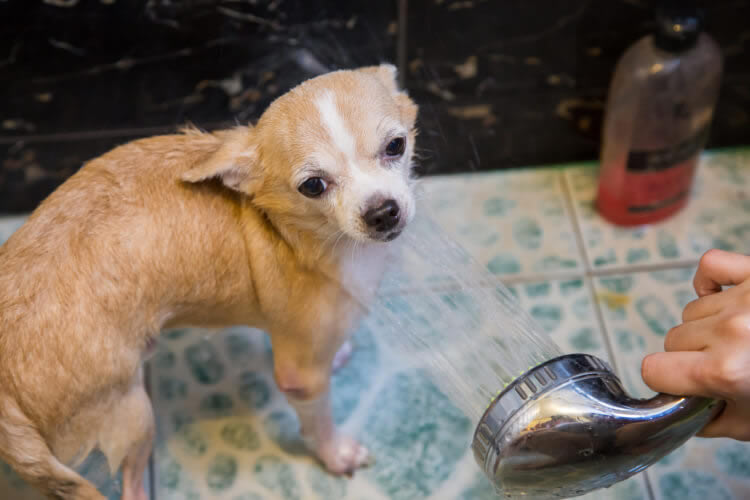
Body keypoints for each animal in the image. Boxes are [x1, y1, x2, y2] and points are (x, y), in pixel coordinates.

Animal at [0, 66, 418, 500]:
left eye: (396, 145)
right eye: (313, 186)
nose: (382, 212)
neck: (292, 227)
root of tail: (6, 400)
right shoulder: (301, 378)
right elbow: (318, 423)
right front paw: (336, 456)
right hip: (134, 414)